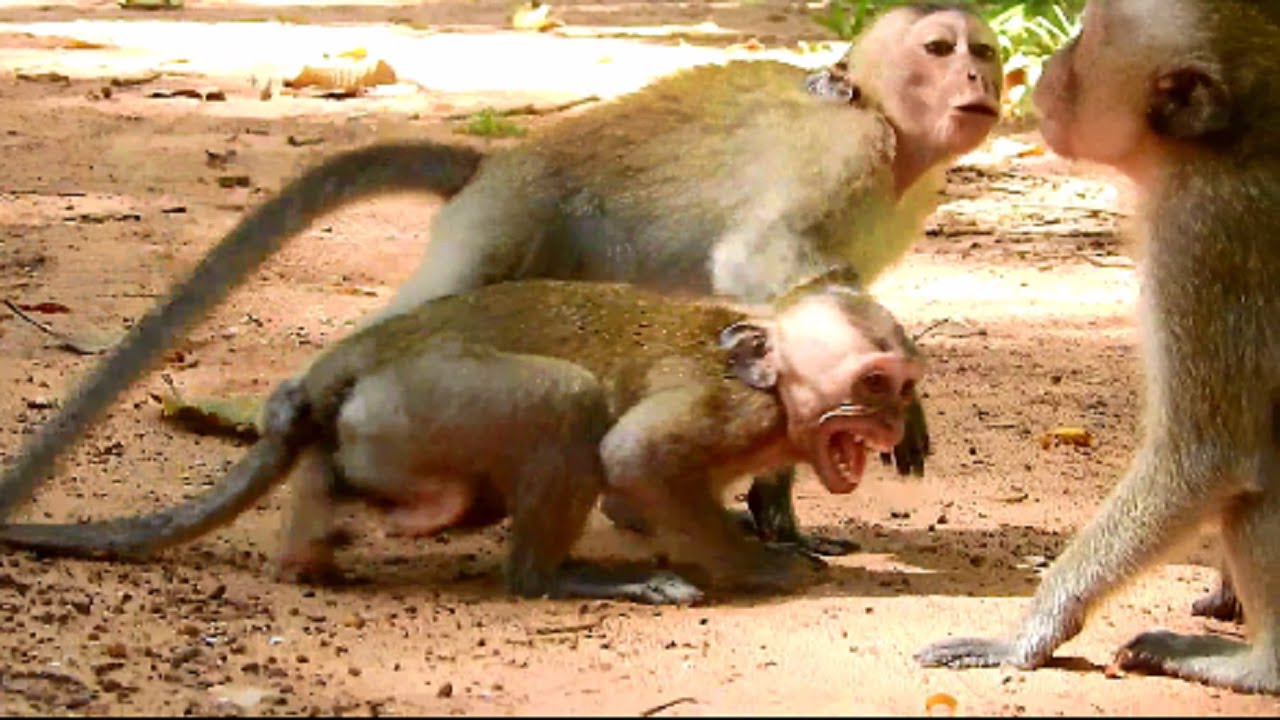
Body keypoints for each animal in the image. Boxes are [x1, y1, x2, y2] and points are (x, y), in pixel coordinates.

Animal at [0, 4, 1001, 556]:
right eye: (939, 49)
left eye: (980, 50)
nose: (981, 77)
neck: (893, 135)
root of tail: (500, 163)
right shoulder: (849, 153)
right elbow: (761, 266)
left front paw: (784, 509)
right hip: (511, 226)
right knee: (440, 311)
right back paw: (300, 405)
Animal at [0, 280, 924, 604]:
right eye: (875, 381)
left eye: (906, 382)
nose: (894, 421)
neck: (771, 388)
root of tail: (355, 355)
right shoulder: (729, 409)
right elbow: (632, 461)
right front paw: (759, 567)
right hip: (424, 400)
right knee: (565, 401)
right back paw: (550, 579)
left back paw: (324, 525)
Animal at [915, 0, 1280, 694]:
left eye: (1085, 36)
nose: (1049, 64)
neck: (1229, 146)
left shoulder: (1200, 240)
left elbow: (1206, 456)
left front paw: (1033, 629)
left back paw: (1259, 666)